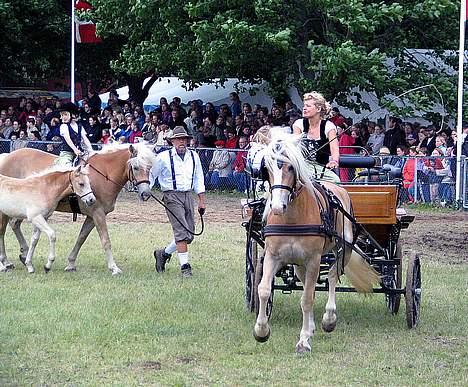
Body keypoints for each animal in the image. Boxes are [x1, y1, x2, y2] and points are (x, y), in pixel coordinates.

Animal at [0, 143, 155, 276]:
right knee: (4, 230)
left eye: (149, 167)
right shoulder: (98, 213)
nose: (146, 194)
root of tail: (6, 156)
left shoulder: (92, 216)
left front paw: (70, 263)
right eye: (136, 167)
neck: (104, 174)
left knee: (14, 225)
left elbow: (81, 238)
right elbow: (106, 240)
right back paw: (6, 262)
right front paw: (114, 268)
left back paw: (24, 253)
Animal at [241, 134, 420, 354]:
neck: (293, 218)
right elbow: (264, 289)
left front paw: (303, 341)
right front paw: (261, 331)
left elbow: (307, 298)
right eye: (266, 168)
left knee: (333, 276)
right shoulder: (274, 256)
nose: (276, 206)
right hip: (300, 262)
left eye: (291, 167)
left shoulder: (314, 259)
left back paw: (329, 319)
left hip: (345, 249)